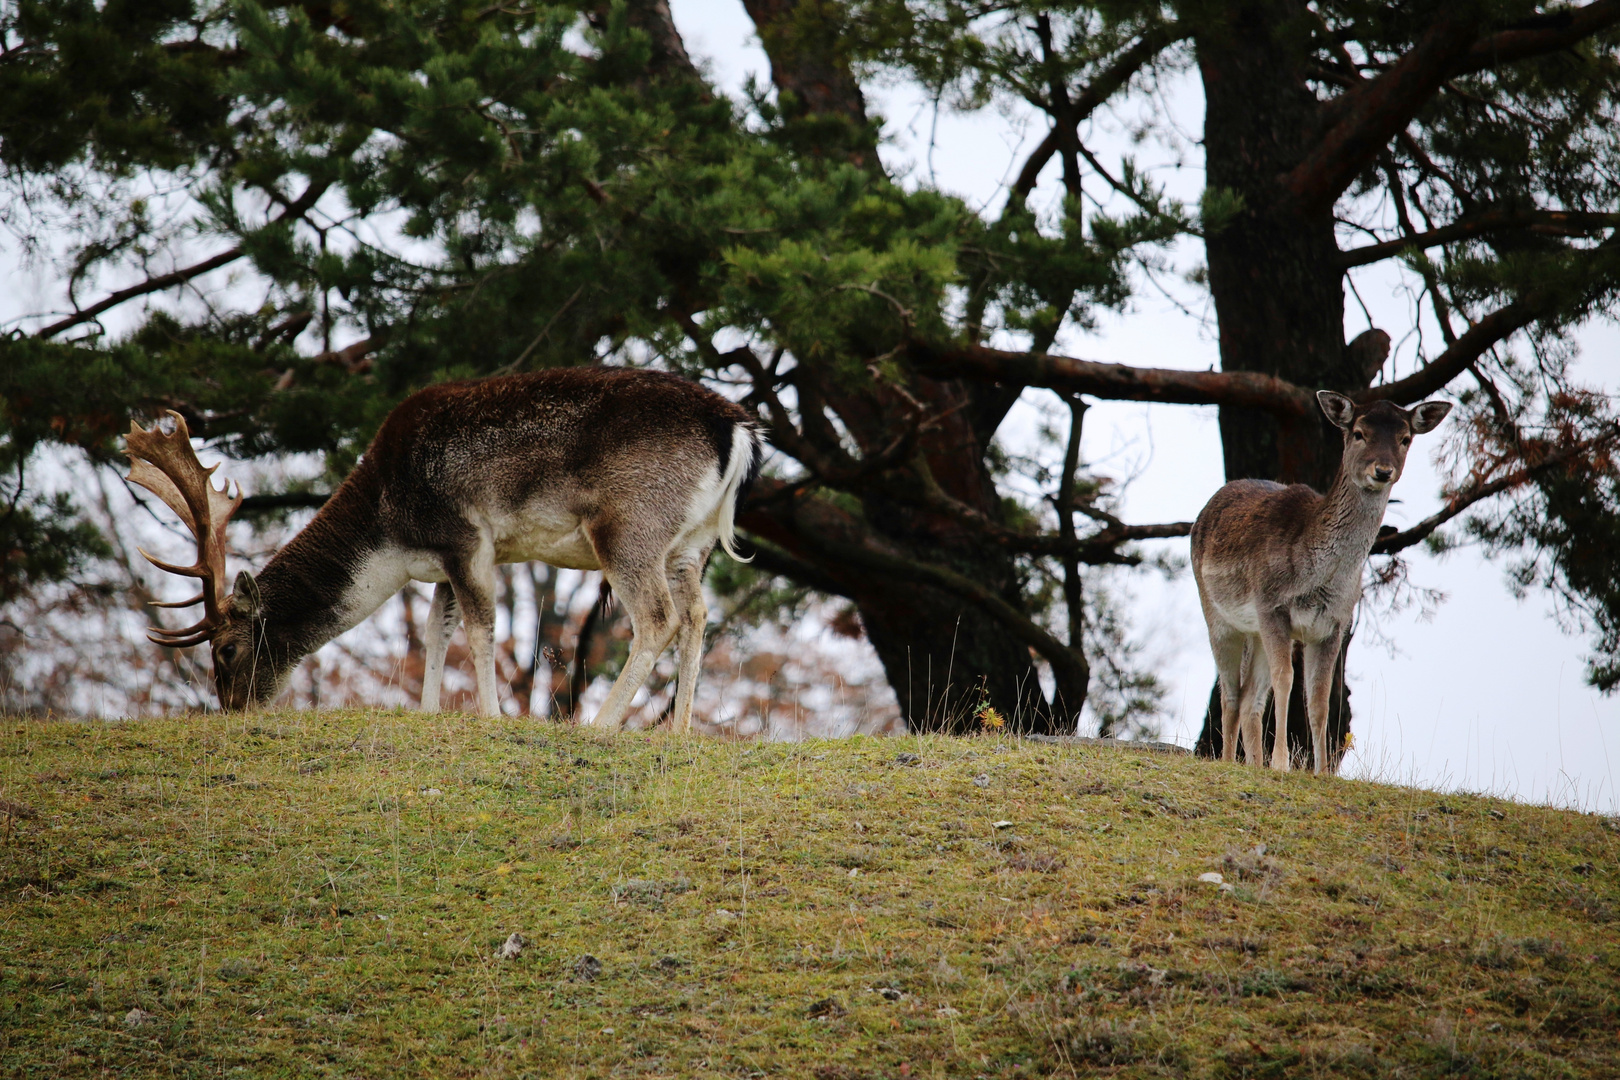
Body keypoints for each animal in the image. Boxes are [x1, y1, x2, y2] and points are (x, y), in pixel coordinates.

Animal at [124, 367, 758, 731]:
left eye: (227, 649)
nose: (232, 708)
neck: (387, 529)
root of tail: (737, 429)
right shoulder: (442, 563)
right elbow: (435, 631)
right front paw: (429, 712)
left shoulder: (464, 536)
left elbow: (480, 628)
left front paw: (491, 717)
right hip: (692, 543)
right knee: (698, 614)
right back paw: (679, 733)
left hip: (629, 526)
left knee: (658, 617)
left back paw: (600, 725)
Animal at [1192, 393, 1458, 773]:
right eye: (1359, 433)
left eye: (1405, 438)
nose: (1382, 470)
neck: (1320, 580)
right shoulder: (1272, 605)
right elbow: (1286, 679)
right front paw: (1281, 763)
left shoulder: (1335, 624)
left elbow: (1319, 700)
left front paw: (1319, 770)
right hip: (1217, 615)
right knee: (1229, 693)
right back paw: (1229, 761)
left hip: (1255, 631)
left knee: (1248, 698)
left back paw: (1253, 764)